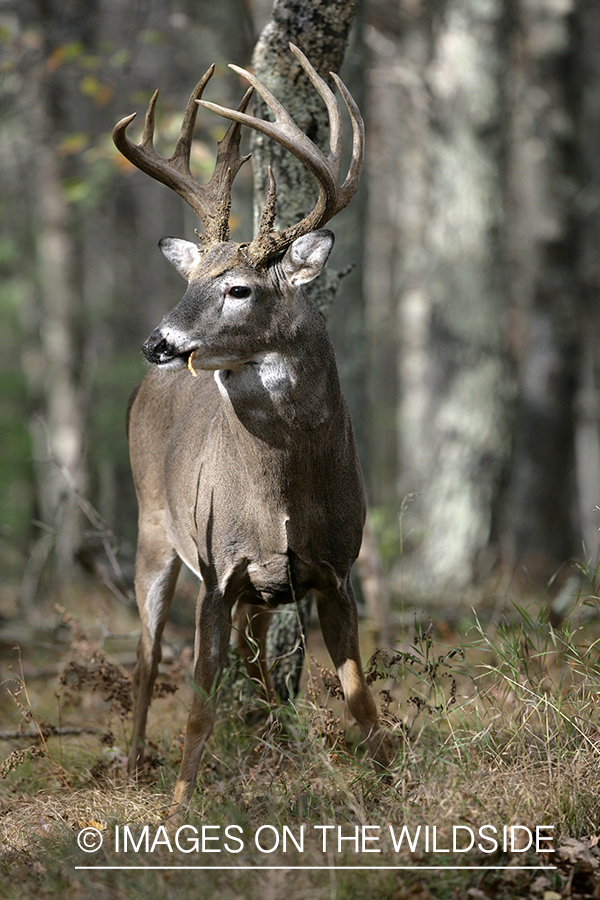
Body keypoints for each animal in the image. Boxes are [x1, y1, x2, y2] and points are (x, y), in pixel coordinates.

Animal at [113, 40, 392, 808]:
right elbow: (199, 702)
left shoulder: (335, 569)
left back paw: (282, 748)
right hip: (153, 524)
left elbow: (360, 698)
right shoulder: (218, 571)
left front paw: (391, 786)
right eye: (188, 282)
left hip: (264, 591)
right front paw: (180, 807)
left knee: (256, 662)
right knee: (147, 656)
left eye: (238, 288)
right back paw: (136, 763)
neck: (282, 496)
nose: (157, 342)